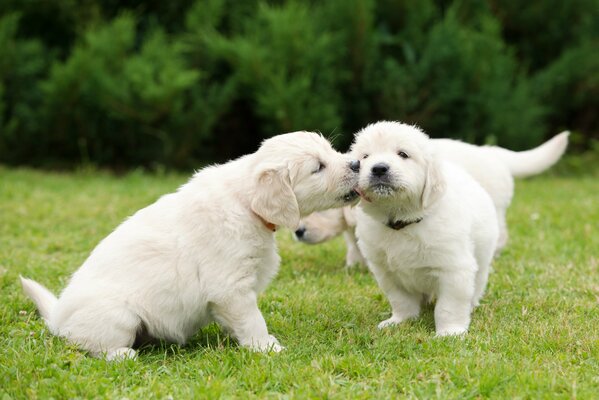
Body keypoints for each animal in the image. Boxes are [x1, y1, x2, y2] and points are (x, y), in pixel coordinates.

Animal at [19, 131, 360, 360]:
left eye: (332, 151)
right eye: (318, 167)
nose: (357, 163)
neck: (246, 202)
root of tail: (57, 317)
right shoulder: (231, 288)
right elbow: (252, 320)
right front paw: (266, 347)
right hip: (118, 316)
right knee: (90, 345)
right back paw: (123, 354)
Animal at [354, 121, 500, 334]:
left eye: (403, 154)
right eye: (365, 157)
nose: (379, 168)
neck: (403, 221)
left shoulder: (454, 269)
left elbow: (448, 306)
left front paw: (450, 332)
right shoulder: (385, 272)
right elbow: (401, 300)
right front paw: (400, 321)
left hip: (482, 261)